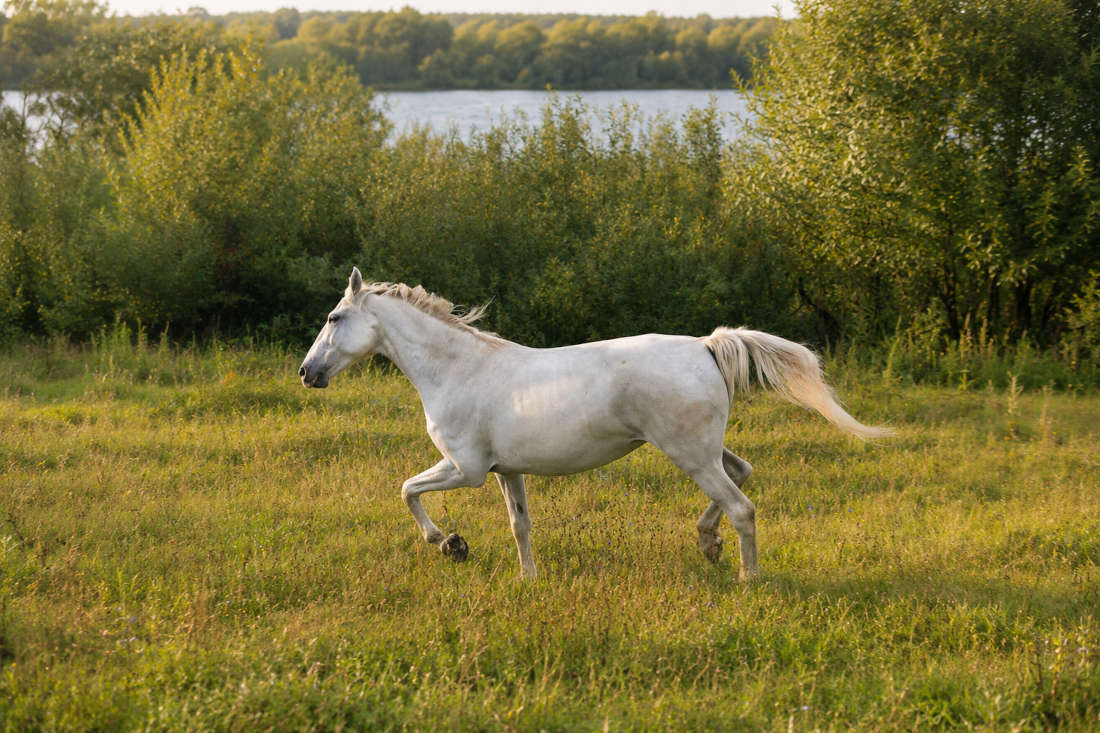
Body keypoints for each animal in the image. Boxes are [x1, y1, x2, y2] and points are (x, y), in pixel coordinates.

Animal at [299, 268, 891, 581]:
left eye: (333, 318)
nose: (308, 373)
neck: (458, 369)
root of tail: (706, 345)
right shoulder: (505, 471)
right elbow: (519, 525)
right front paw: (528, 579)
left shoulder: (464, 468)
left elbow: (407, 490)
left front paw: (447, 542)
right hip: (703, 450)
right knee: (742, 474)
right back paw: (708, 544)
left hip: (688, 454)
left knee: (742, 507)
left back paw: (748, 578)